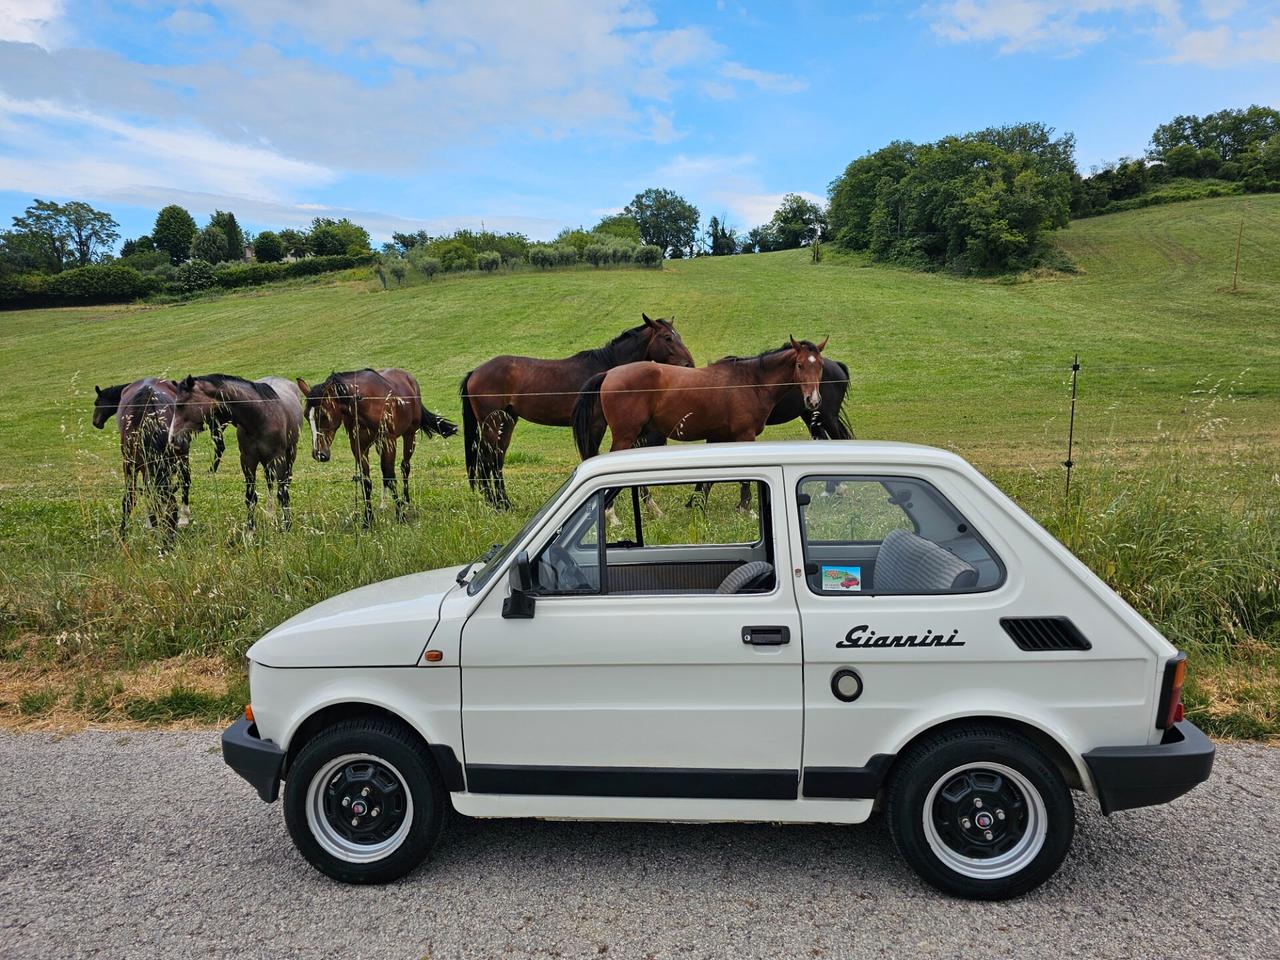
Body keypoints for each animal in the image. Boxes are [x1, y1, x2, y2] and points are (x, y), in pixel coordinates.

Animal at [170, 373, 304, 529]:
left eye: (180, 405)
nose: (172, 438)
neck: (260, 417)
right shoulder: (247, 460)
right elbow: (250, 497)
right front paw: (250, 531)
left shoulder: (278, 458)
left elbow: (282, 493)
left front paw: (286, 526)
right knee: (270, 481)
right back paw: (270, 514)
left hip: (290, 453)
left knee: (284, 481)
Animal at [296, 371, 458, 535]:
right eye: (306, 416)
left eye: (324, 415)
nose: (319, 454)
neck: (367, 404)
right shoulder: (358, 446)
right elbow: (366, 481)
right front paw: (367, 520)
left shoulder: (389, 441)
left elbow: (390, 477)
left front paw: (400, 515)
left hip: (410, 435)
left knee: (404, 466)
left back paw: (405, 501)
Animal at [460, 316, 696, 512]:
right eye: (667, 337)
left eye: (678, 336)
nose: (689, 364)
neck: (606, 370)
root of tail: (475, 372)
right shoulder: (595, 425)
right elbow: (593, 457)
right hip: (492, 423)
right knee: (487, 460)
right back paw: (495, 504)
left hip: (507, 422)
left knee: (497, 459)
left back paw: (504, 503)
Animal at [573, 337, 829, 458]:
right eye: (799, 365)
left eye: (820, 366)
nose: (813, 401)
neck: (751, 380)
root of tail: (609, 373)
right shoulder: (744, 436)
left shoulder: (720, 436)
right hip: (626, 435)